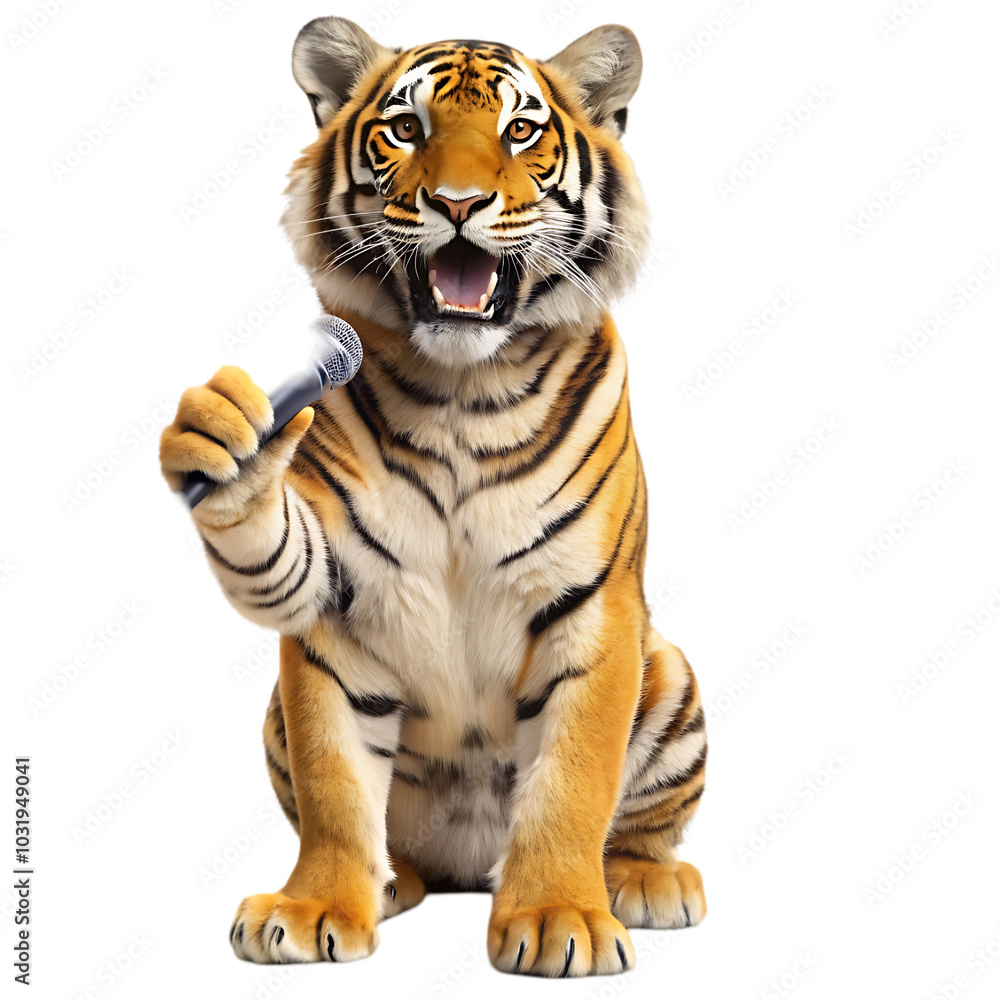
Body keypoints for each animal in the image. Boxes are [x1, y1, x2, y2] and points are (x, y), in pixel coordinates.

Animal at [159, 16, 707, 978]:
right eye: (406, 129)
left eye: (520, 132)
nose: (457, 202)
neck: (463, 393)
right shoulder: (331, 606)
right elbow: (335, 784)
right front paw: (313, 908)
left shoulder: (594, 608)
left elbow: (574, 779)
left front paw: (559, 919)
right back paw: (392, 882)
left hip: (668, 672)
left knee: (637, 823)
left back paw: (643, 883)